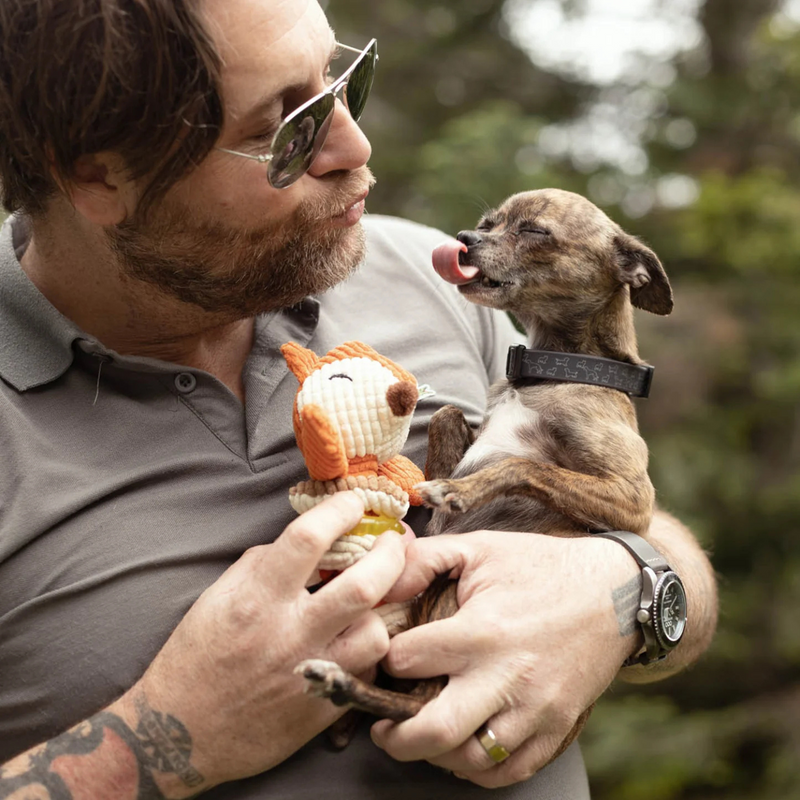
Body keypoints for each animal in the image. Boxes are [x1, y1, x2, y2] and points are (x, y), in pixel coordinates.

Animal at [296, 189, 672, 752]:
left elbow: (521, 463)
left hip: (450, 593)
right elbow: (450, 416)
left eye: (534, 231)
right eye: (487, 223)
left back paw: (341, 686)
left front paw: (456, 490)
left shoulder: (633, 499)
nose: (463, 240)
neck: (551, 370)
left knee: (422, 703)